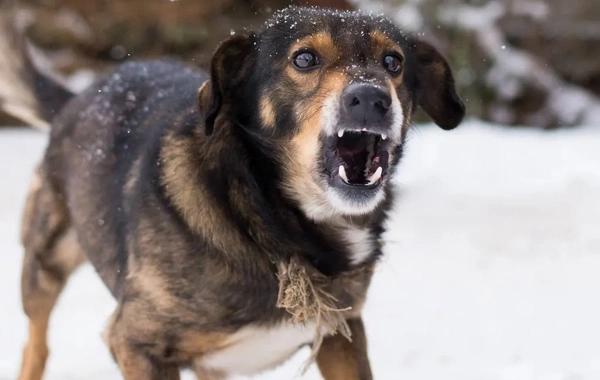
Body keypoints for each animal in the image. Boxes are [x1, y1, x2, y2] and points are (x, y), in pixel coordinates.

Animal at [1, 5, 464, 380]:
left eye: (393, 61)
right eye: (304, 58)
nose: (371, 97)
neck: (267, 222)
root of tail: (83, 95)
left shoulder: (341, 334)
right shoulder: (135, 343)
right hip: (45, 263)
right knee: (36, 343)